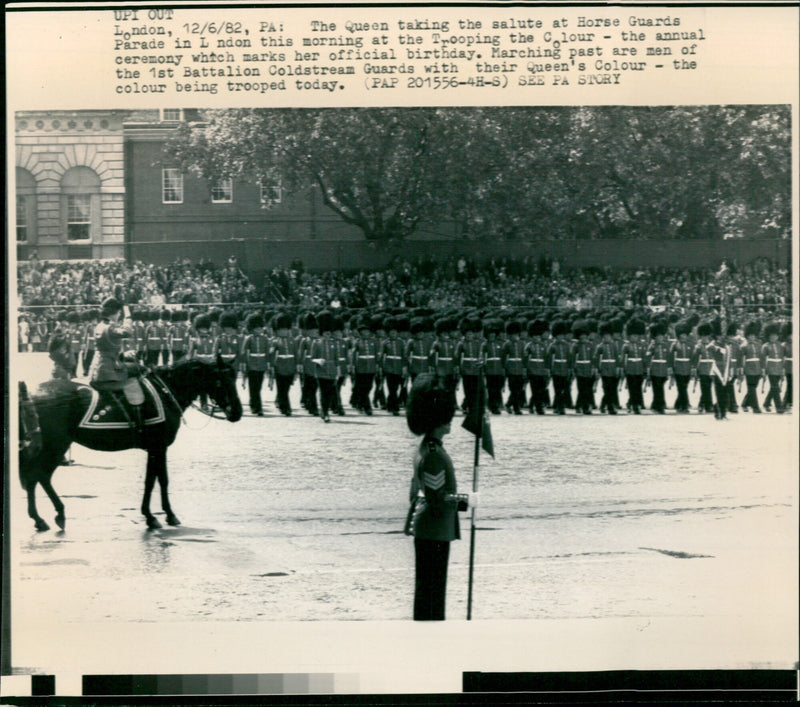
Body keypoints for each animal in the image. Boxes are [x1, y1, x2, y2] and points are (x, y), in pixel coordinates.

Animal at [18, 356, 242, 532]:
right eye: (221, 381)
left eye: (235, 378)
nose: (237, 412)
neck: (165, 390)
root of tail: (32, 395)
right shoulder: (158, 447)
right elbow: (157, 480)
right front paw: (159, 516)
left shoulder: (155, 448)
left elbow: (156, 479)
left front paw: (157, 515)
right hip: (55, 445)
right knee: (38, 475)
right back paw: (49, 516)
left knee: (38, 477)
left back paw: (44, 518)